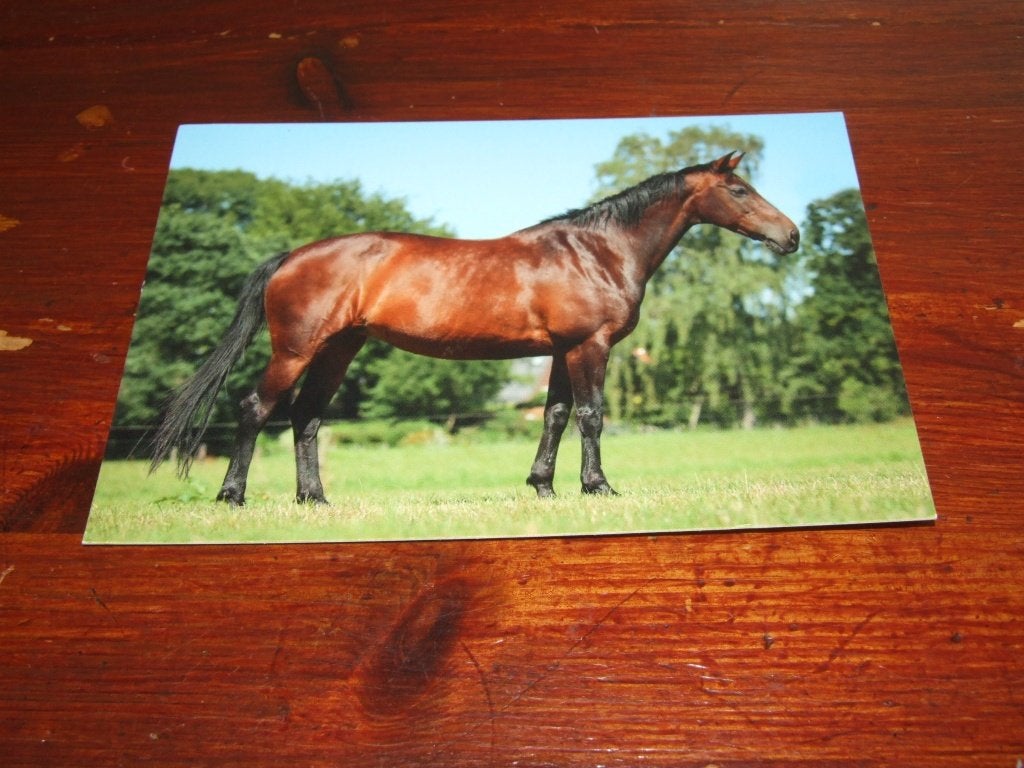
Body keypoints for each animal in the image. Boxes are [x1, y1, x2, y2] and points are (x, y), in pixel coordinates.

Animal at [150, 151, 799, 505]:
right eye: (739, 189)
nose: (791, 236)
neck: (596, 251)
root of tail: (291, 257)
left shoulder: (559, 351)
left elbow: (554, 415)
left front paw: (543, 486)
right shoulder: (588, 346)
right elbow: (591, 416)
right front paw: (598, 487)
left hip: (338, 349)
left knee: (306, 417)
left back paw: (315, 499)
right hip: (296, 348)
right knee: (256, 408)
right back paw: (232, 496)